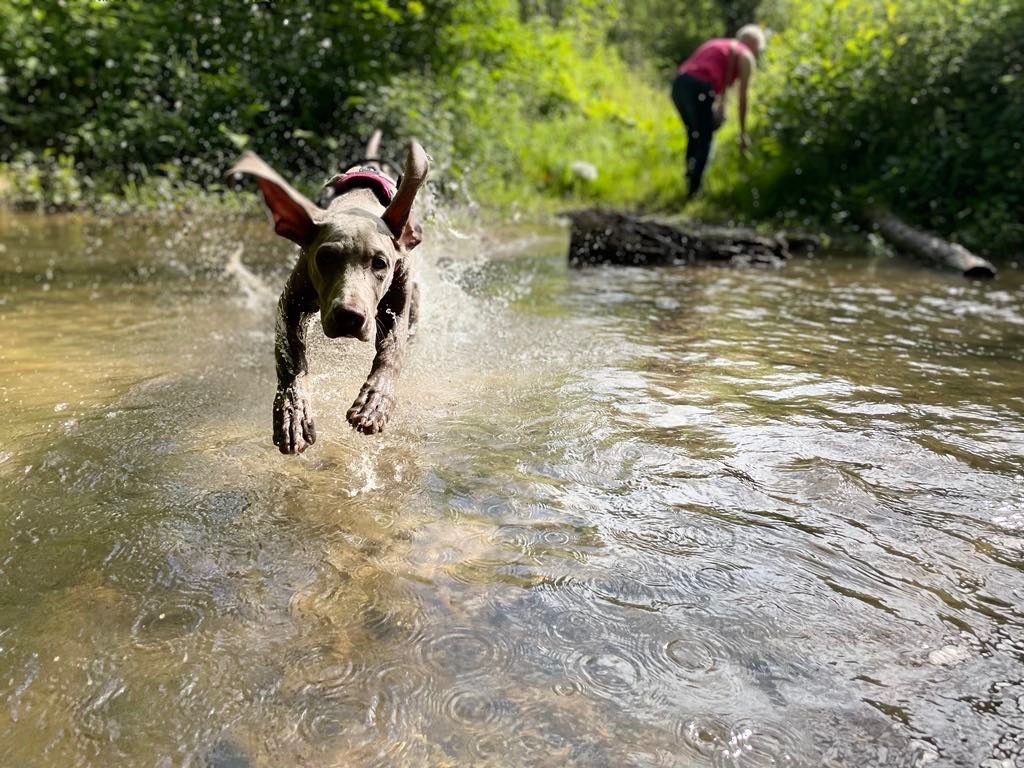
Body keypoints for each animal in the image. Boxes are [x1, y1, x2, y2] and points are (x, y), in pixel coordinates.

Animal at [228, 137, 428, 454]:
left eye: (380, 263)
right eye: (325, 258)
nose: (349, 316)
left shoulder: (398, 301)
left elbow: (391, 353)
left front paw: (375, 401)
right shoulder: (291, 303)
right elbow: (291, 361)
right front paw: (293, 413)